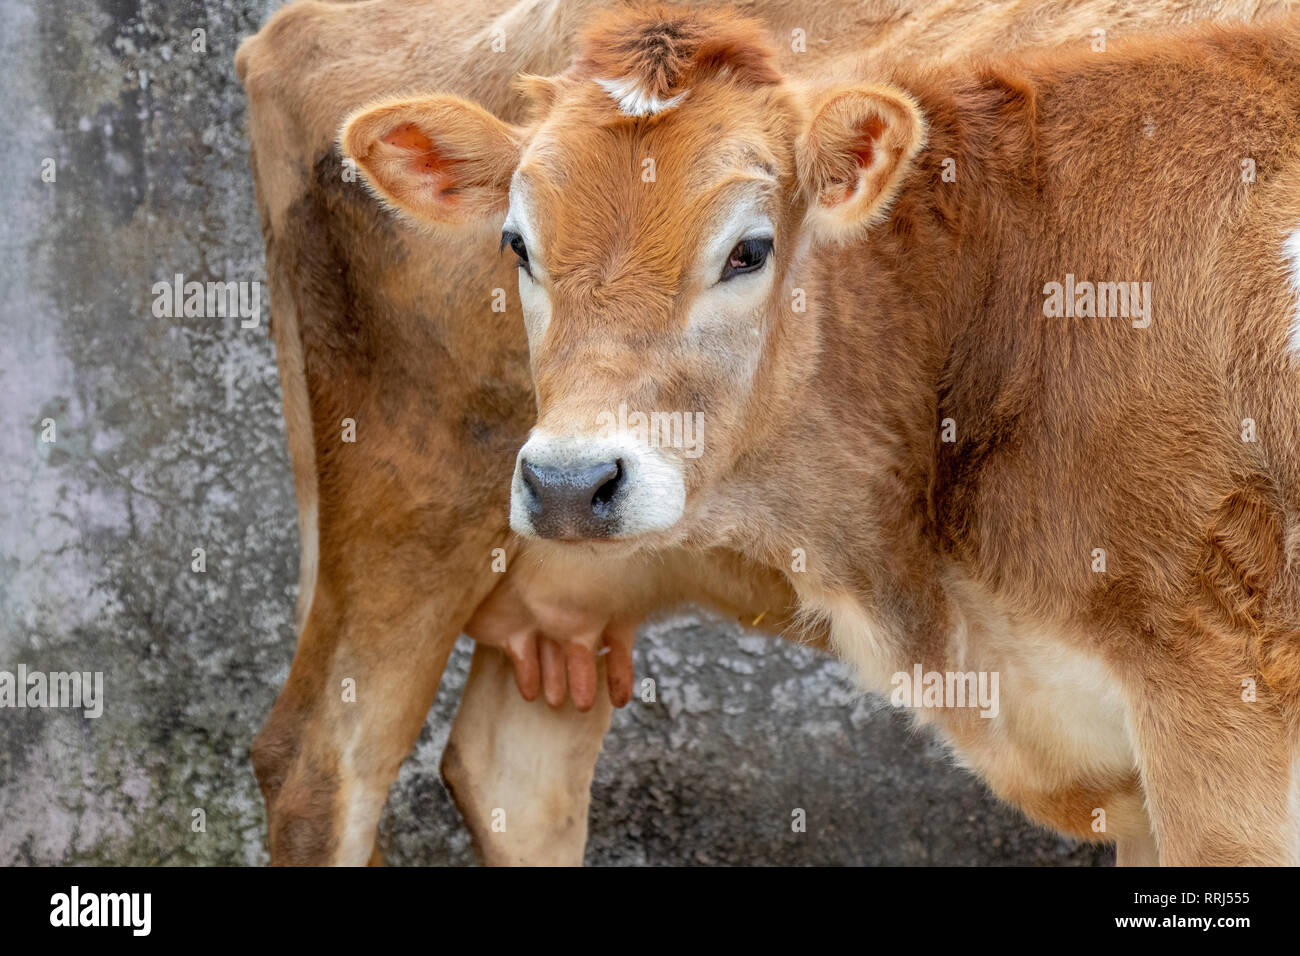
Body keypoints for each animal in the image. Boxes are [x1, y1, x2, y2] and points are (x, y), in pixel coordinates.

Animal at [237, 0, 1297, 865]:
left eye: (748, 250)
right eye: (517, 244)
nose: (572, 483)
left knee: (512, 777)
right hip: (404, 517)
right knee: (325, 770)